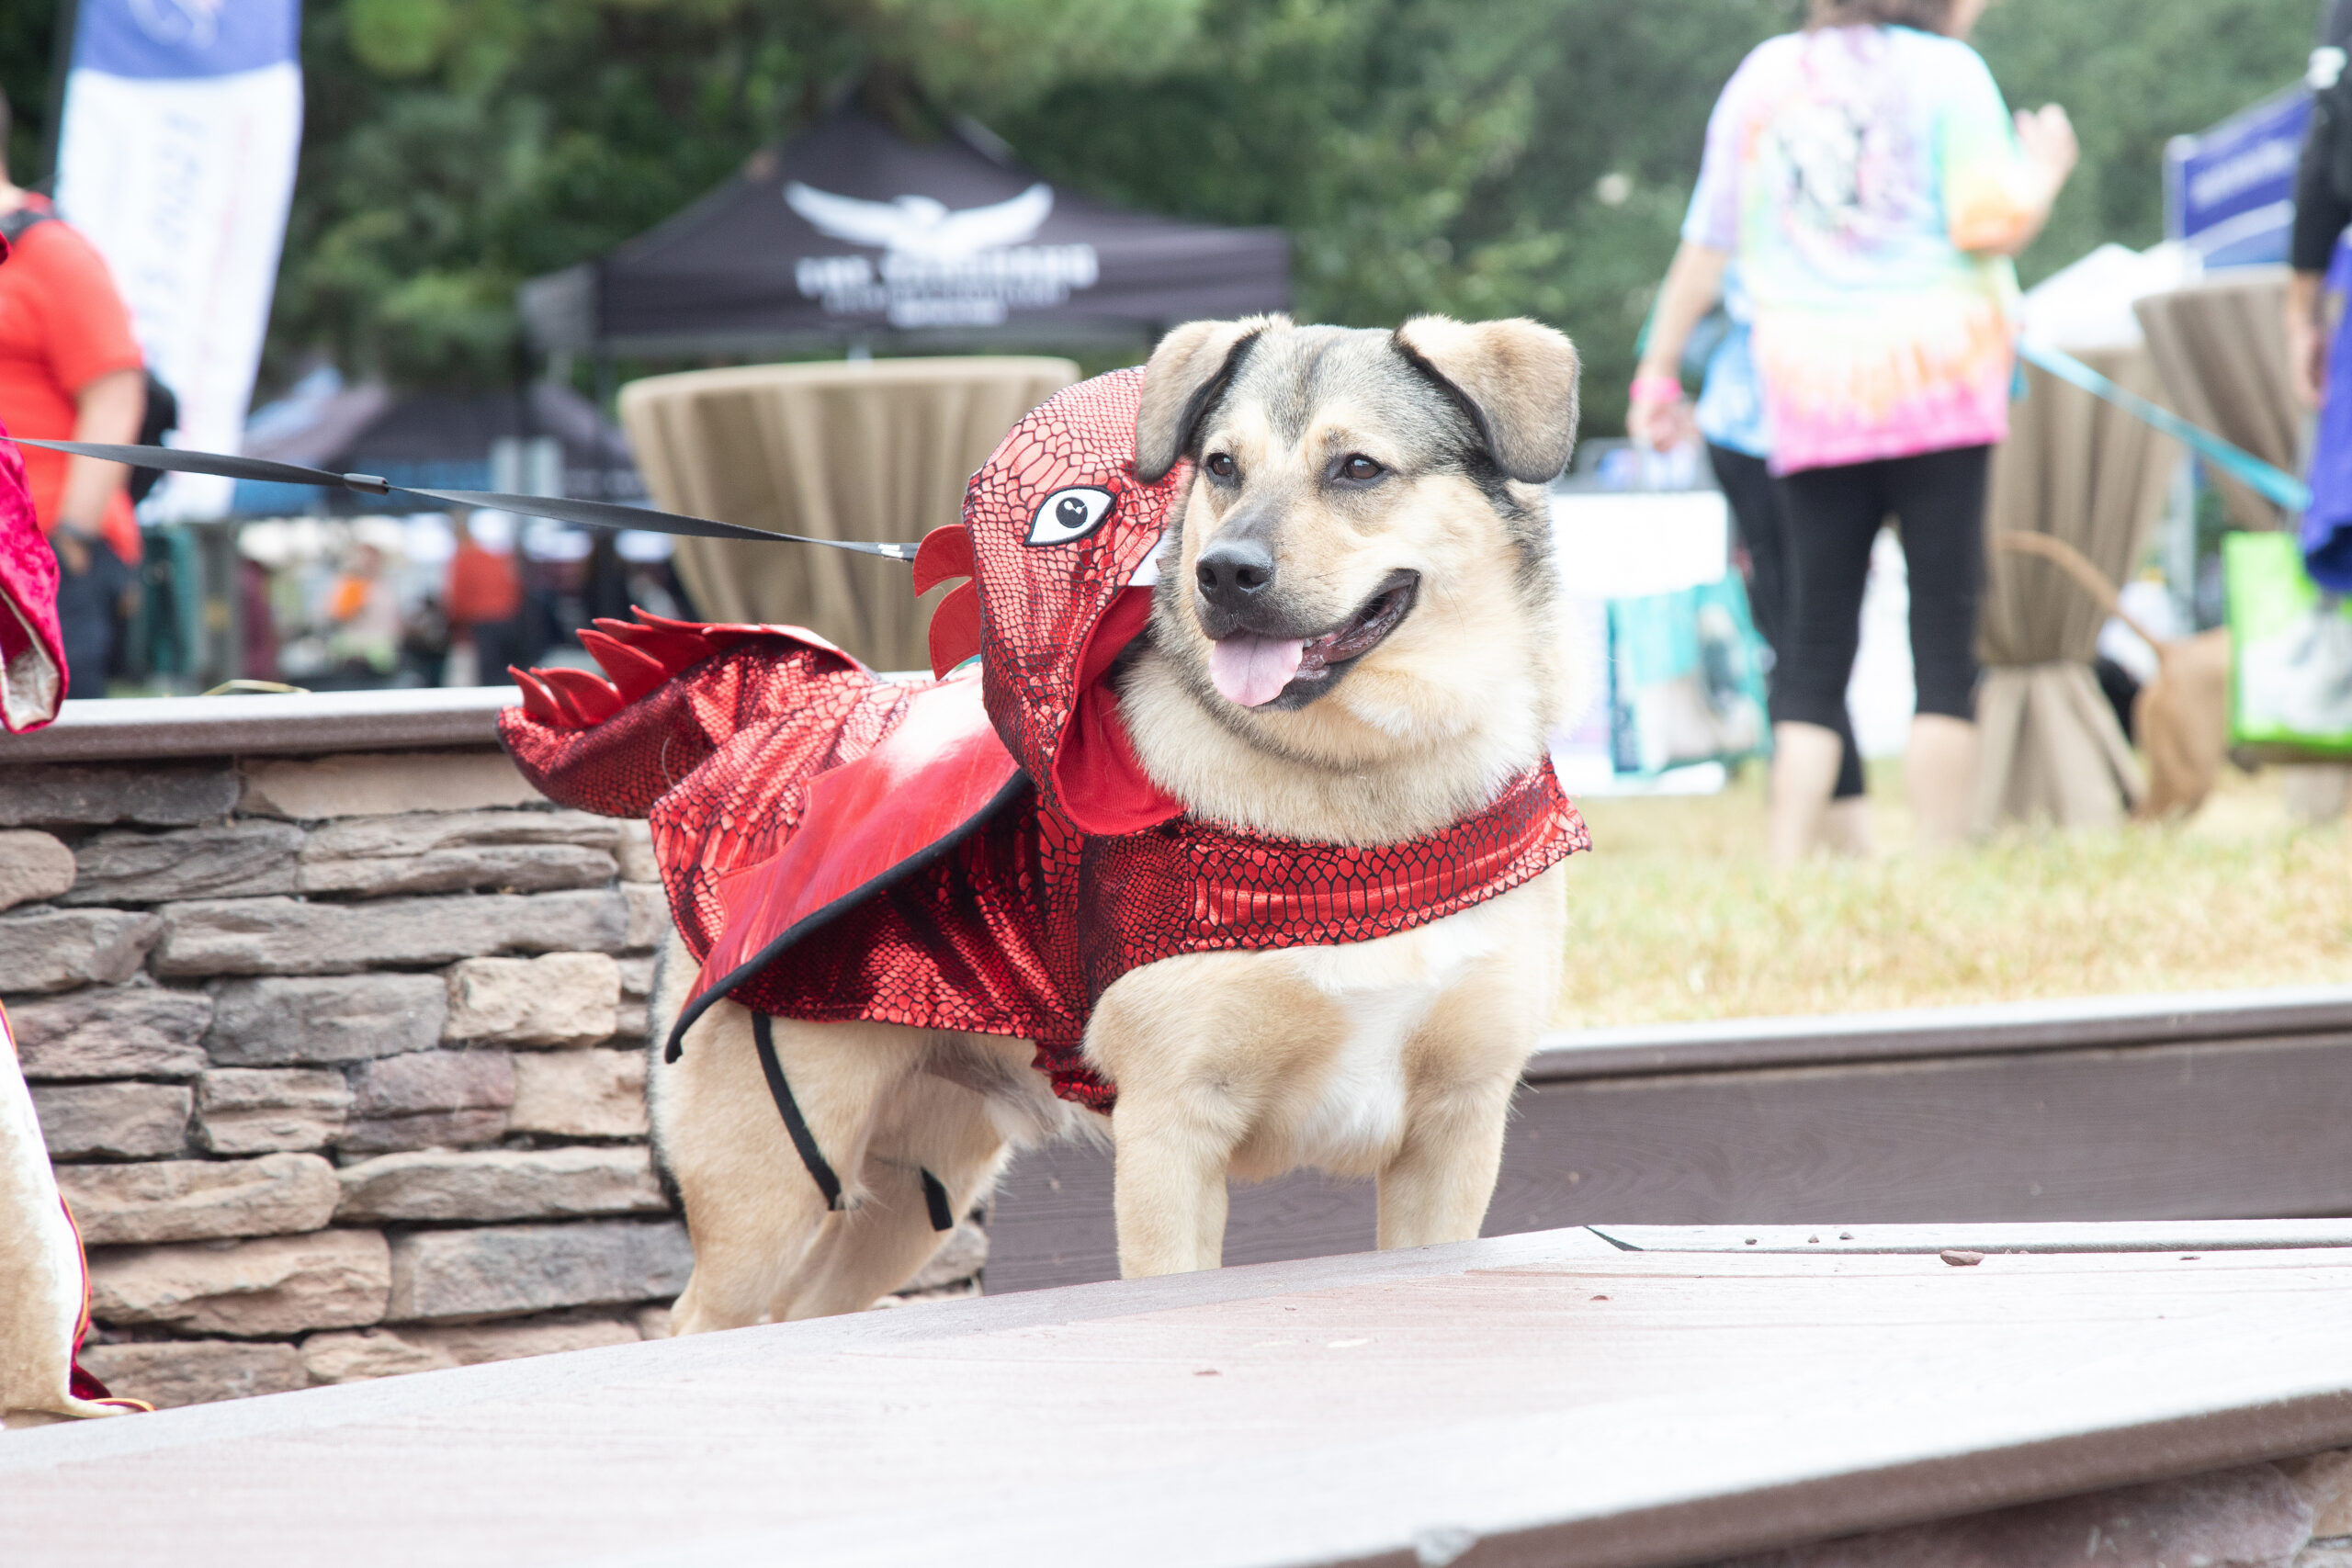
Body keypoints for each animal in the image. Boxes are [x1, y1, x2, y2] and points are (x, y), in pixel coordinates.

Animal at [653, 312, 1589, 1335]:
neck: (1362, 796)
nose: (1224, 572)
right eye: (1219, 466)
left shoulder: (1455, 1129)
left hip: (913, 1189)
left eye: (1358, 468)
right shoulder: (1173, 1130)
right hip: (774, 1181)